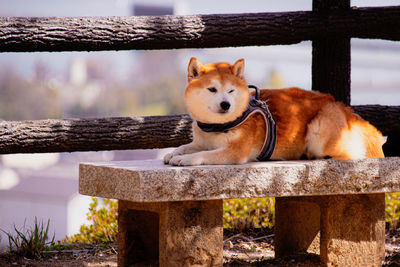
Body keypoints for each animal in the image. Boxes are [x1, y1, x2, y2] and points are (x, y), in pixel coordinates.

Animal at [163, 58, 384, 165]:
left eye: (231, 91)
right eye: (212, 89)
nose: (226, 104)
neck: (216, 127)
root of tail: (346, 110)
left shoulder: (235, 152)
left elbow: (202, 155)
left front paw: (184, 159)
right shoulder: (202, 142)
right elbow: (186, 146)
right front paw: (173, 153)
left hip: (319, 130)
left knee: (351, 154)